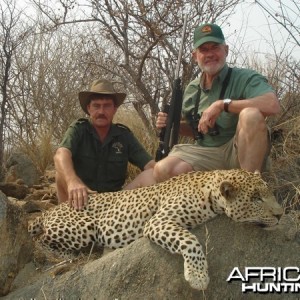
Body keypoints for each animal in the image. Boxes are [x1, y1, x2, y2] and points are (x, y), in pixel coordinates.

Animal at [28, 168, 284, 290]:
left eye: (269, 193)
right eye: (256, 198)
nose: (281, 215)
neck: (210, 192)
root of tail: (50, 210)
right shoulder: (158, 221)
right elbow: (190, 241)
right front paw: (198, 277)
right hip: (83, 226)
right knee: (38, 241)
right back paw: (69, 256)